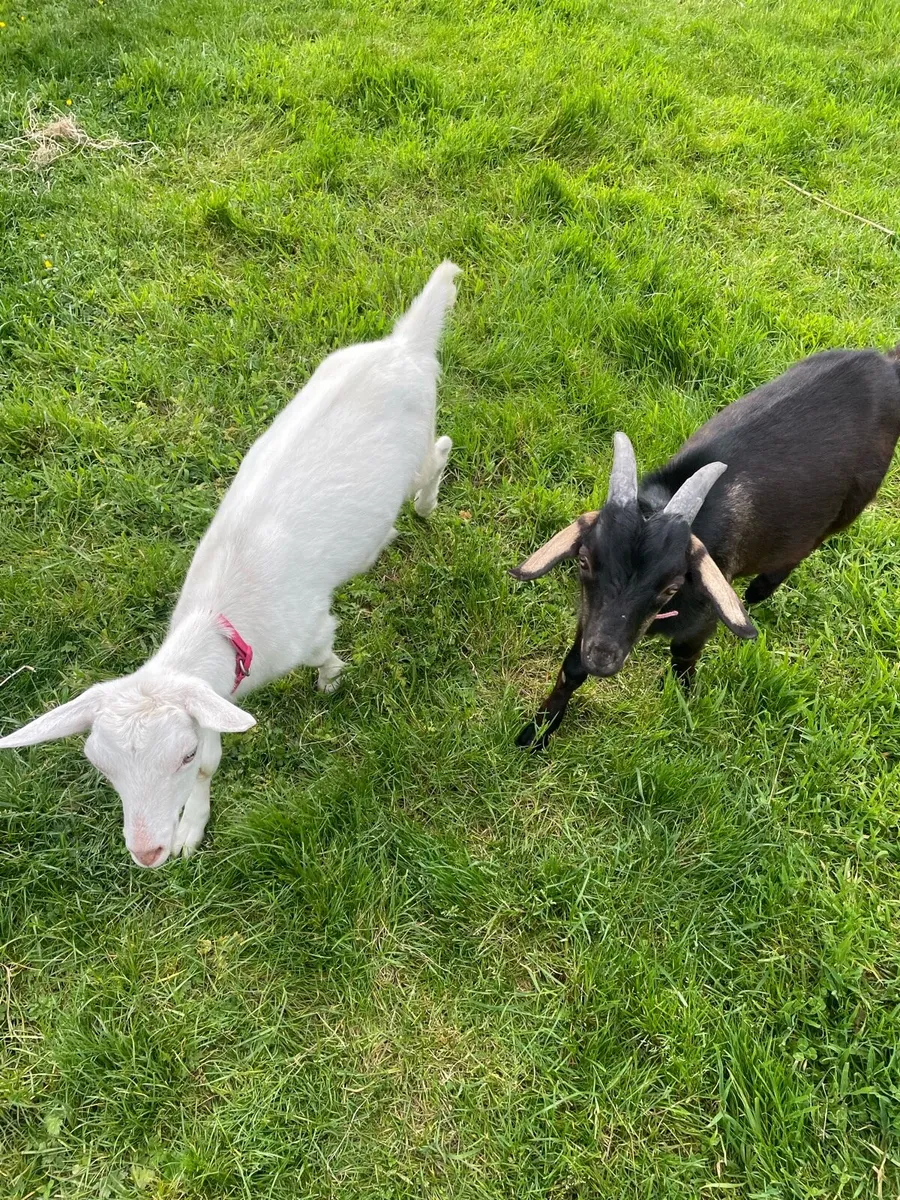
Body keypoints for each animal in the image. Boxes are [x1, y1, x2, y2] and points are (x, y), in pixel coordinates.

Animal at [0, 261, 461, 867]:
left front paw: (331, 681)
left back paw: (424, 508)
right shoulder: (211, 698)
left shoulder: (308, 630)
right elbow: (216, 760)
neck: (219, 624)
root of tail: (404, 345)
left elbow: (323, 655)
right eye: (101, 766)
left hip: (417, 444)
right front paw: (190, 829)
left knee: (441, 450)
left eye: (180, 753)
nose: (146, 851)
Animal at [512, 347, 900, 749]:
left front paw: (681, 698)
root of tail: (886, 361)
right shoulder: (591, 615)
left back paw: (759, 590)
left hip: (849, 507)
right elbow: (571, 667)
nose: (603, 659)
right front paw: (536, 732)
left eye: (672, 586)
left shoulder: (700, 622)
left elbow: (683, 658)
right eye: (585, 562)